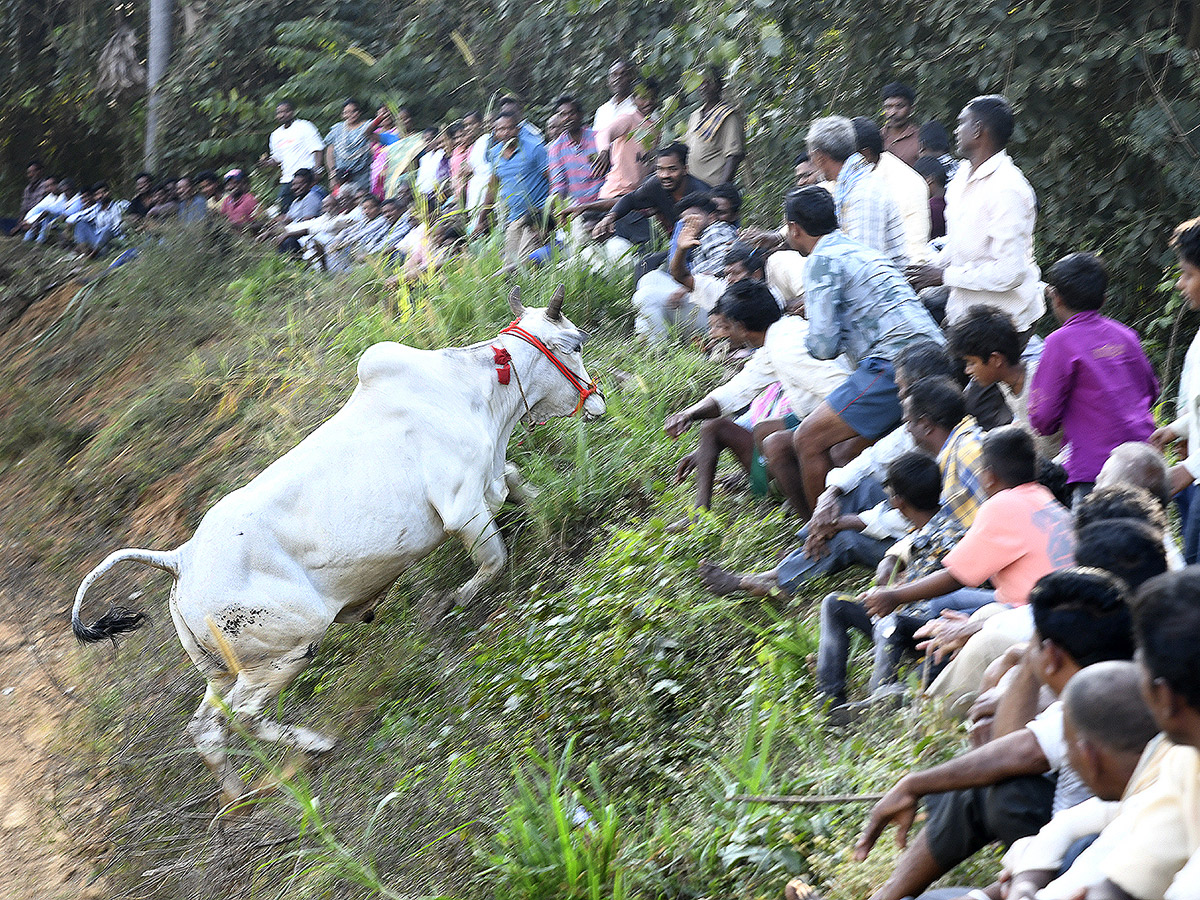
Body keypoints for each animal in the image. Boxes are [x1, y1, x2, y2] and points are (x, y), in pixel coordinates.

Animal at [70, 285, 604, 801]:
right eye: (576, 343)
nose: (598, 399)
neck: (470, 392)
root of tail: (180, 559)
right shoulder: (463, 506)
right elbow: (493, 562)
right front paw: (448, 603)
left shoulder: (492, 478)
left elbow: (521, 487)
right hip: (285, 652)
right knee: (245, 716)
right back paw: (315, 744)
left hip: (221, 673)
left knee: (205, 729)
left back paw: (238, 796)